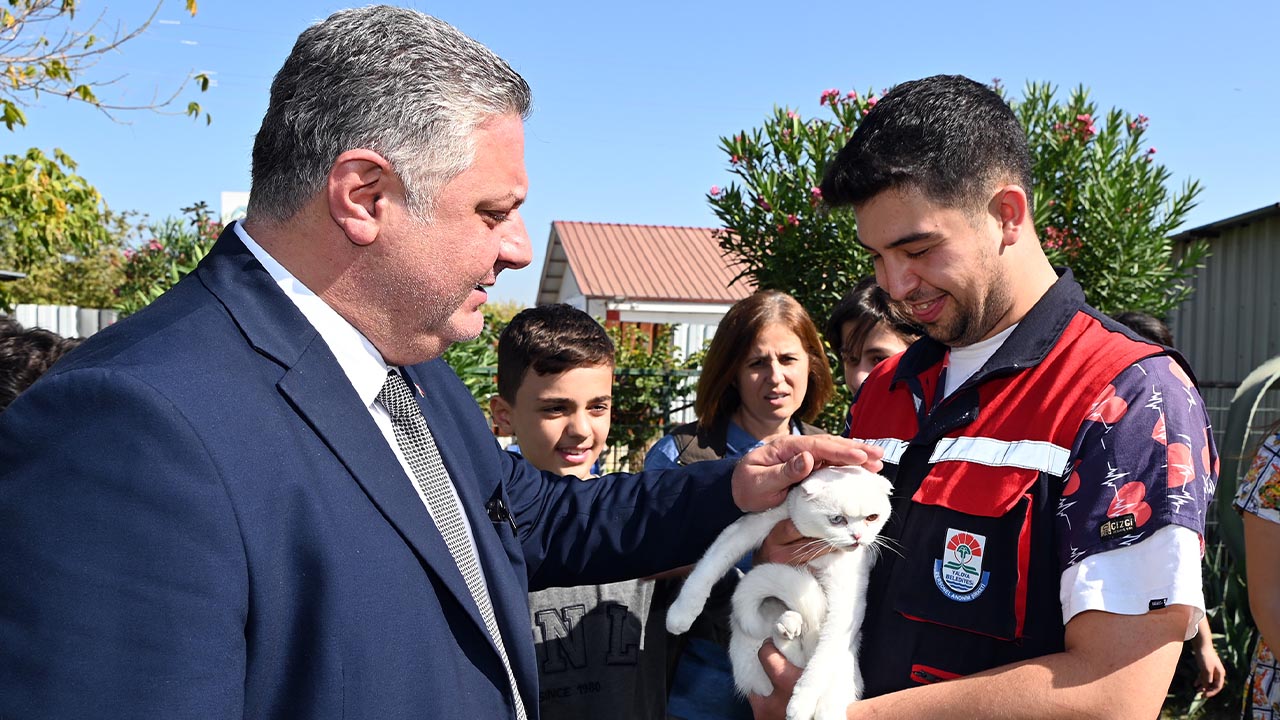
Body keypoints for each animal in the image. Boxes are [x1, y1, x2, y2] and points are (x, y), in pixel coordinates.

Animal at [665, 466, 896, 717]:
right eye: (837, 519)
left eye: (872, 518)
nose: (858, 538)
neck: (817, 543)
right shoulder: (749, 527)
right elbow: (709, 566)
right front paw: (680, 614)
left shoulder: (847, 599)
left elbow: (822, 658)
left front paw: (801, 702)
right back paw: (787, 625)